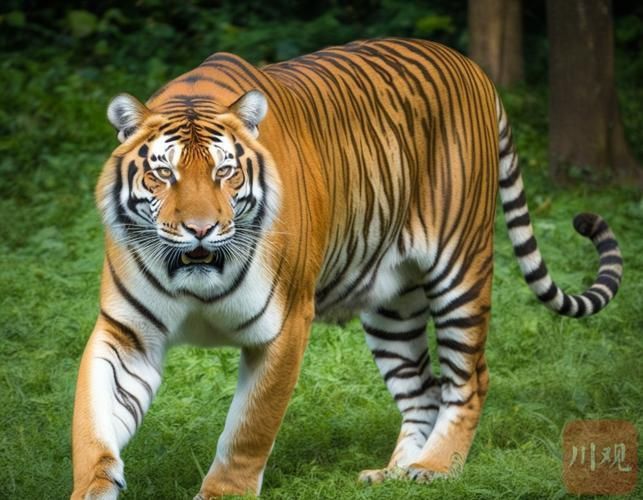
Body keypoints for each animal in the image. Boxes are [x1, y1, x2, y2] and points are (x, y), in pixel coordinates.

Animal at [71, 38, 623, 498]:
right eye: (163, 173)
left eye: (225, 172)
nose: (201, 230)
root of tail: (473, 67)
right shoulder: (128, 333)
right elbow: (93, 427)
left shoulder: (285, 326)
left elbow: (248, 431)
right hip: (392, 307)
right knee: (422, 390)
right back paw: (396, 472)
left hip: (461, 268)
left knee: (469, 377)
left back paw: (435, 468)